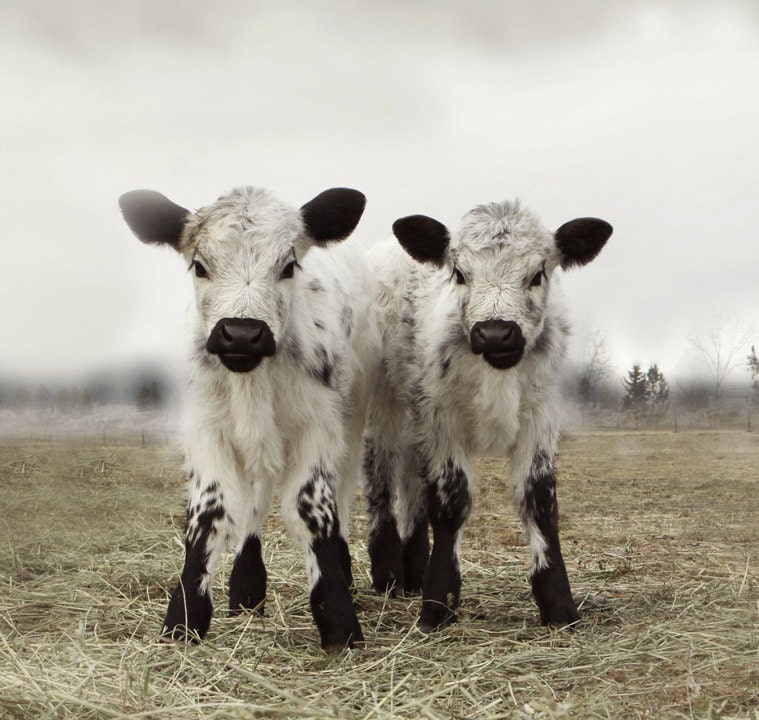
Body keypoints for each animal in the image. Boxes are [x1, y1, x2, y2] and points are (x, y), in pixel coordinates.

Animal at [119, 185, 380, 652]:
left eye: (289, 265)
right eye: (199, 265)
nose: (241, 334)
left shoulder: (319, 426)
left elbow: (311, 509)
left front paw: (338, 618)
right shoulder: (205, 428)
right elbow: (212, 512)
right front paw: (184, 617)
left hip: (354, 414)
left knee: (343, 489)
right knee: (258, 491)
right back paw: (246, 585)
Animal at [362, 199, 612, 632]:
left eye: (538, 273)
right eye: (460, 274)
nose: (496, 333)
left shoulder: (541, 415)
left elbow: (539, 499)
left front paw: (558, 605)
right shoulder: (442, 417)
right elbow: (451, 499)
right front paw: (438, 603)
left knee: (412, 480)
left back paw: (413, 567)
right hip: (385, 401)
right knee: (380, 470)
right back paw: (389, 571)